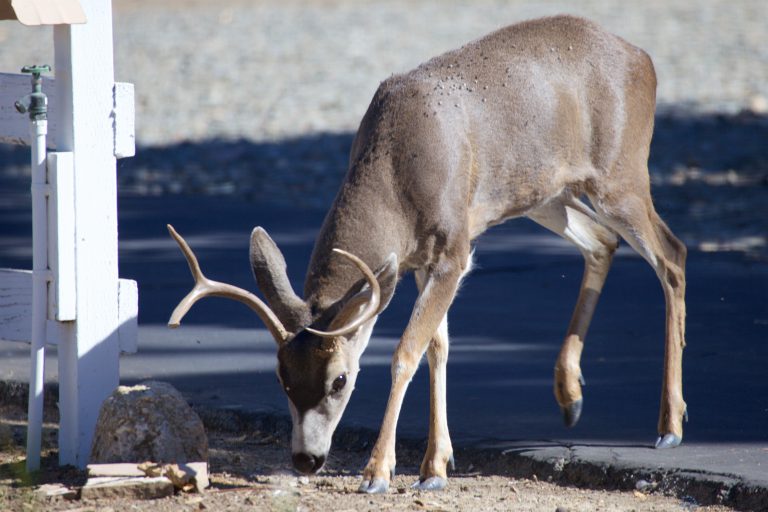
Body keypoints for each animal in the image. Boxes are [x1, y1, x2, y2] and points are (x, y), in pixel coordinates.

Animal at [166, 15, 687, 493]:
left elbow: (406, 351)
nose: (306, 460)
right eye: (282, 377)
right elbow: (439, 347)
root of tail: (643, 58)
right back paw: (570, 395)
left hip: (621, 172)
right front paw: (436, 465)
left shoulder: (454, 247)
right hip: (545, 194)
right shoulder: (418, 260)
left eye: (340, 380)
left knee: (672, 254)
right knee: (602, 243)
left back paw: (670, 426)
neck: (396, 176)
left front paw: (379, 472)